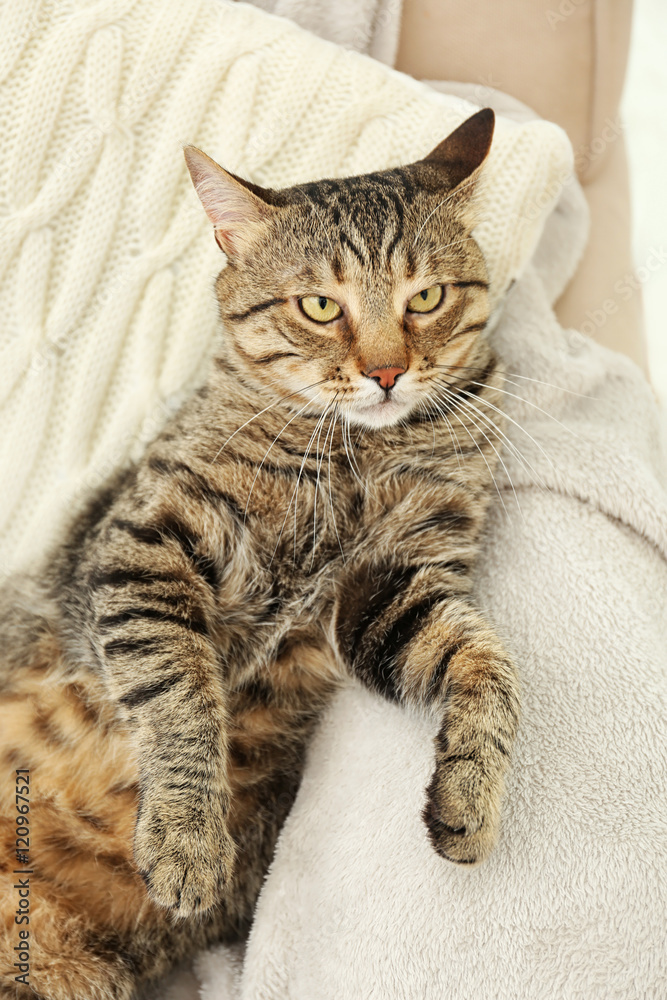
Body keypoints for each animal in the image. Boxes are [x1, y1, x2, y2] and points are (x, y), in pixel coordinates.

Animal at [0, 109, 520, 1000]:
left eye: (425, 298)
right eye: (318, 306)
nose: (387, 372)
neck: (354, 453)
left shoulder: (390, 588)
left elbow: (489, 665)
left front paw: (472, 796)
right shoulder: (144, 547)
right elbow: (178, 692)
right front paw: (187, 839)